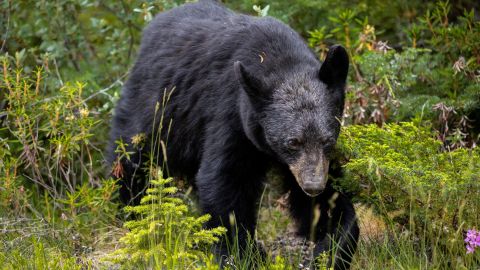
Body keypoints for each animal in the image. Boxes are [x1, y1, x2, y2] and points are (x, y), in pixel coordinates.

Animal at [109, 1, 356, 268]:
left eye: (327, 140)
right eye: (293, 142)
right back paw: (131, 209)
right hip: (155, 108)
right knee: (130, 157)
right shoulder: (231, 115)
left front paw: (332, 247)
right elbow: (225, 180)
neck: (279, 60)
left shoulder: (311, 161)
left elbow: (327, 202)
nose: (313, 185)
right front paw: (242, 253)